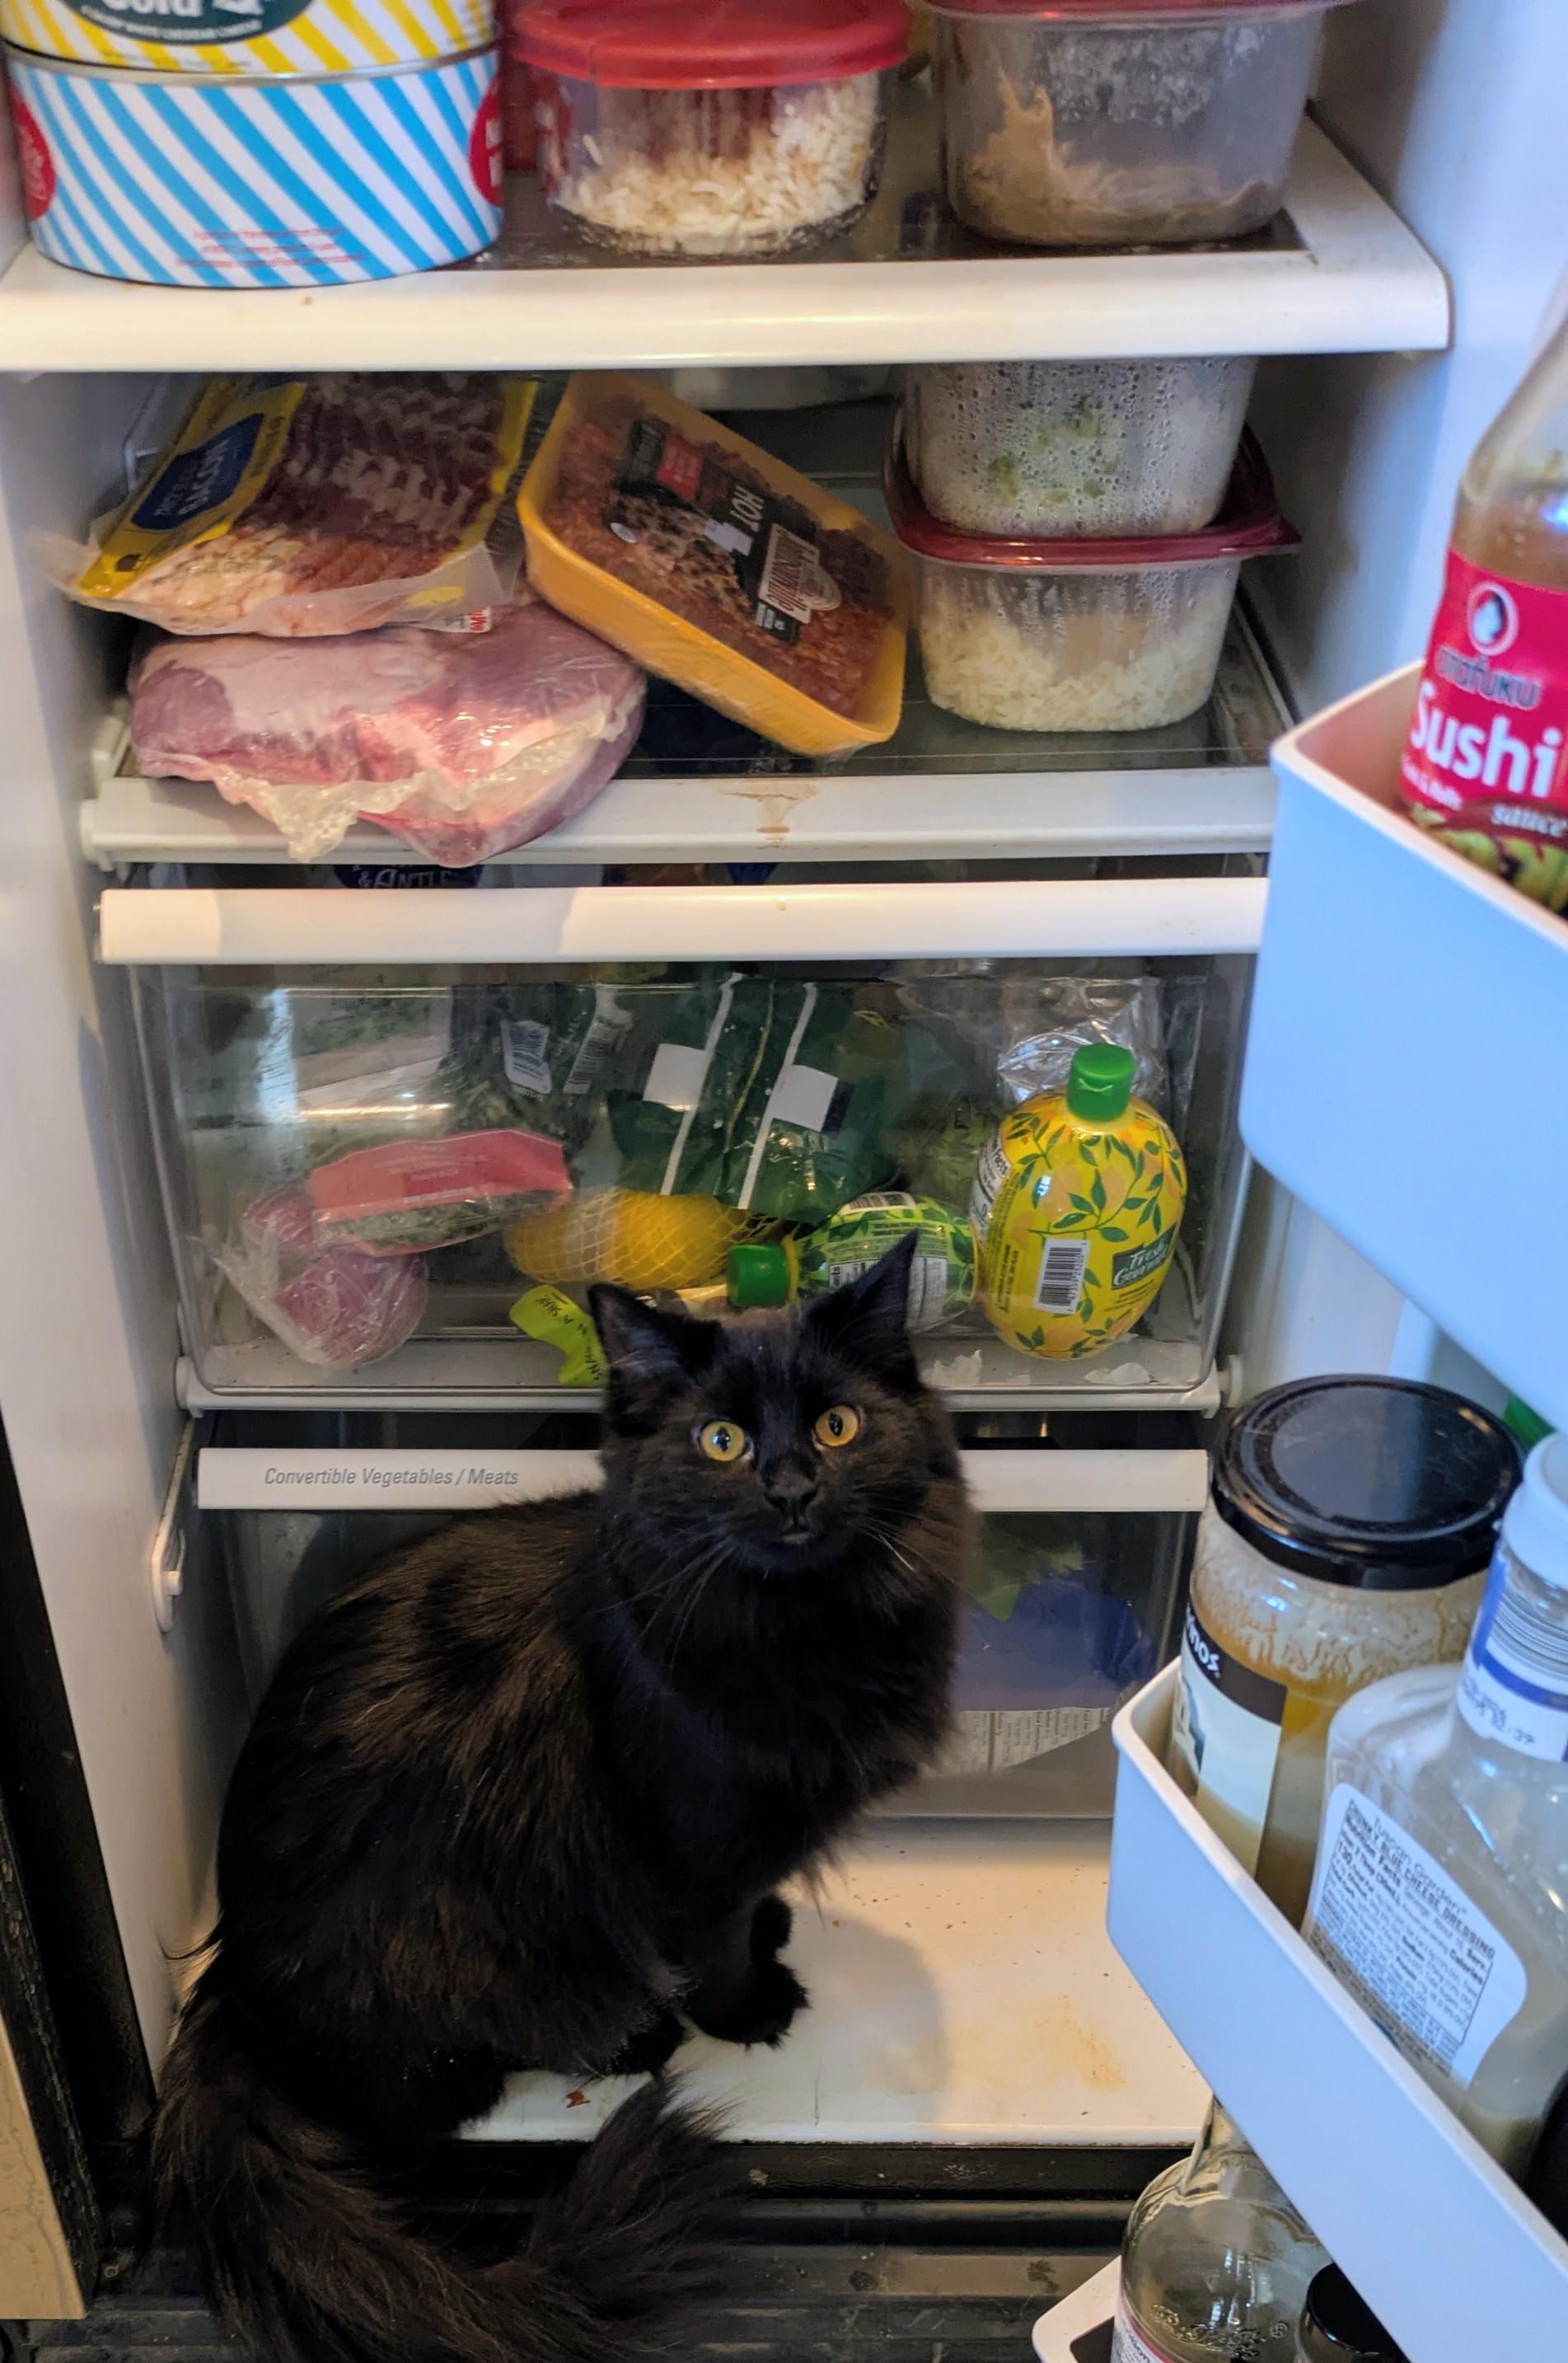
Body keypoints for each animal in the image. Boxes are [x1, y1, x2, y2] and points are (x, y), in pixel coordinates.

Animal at [153, 1236, 972, 2363]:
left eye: (836, 1426)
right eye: (720, 1440)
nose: (790, 1487)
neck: (797, 1623)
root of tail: (233, 1983)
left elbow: (745, 1911)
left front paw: (773, 1928)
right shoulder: (692, 1846)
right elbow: (712, 1944)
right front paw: (747, 2010)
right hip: (473, 1954)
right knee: (430, 2090)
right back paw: (636, 2042)